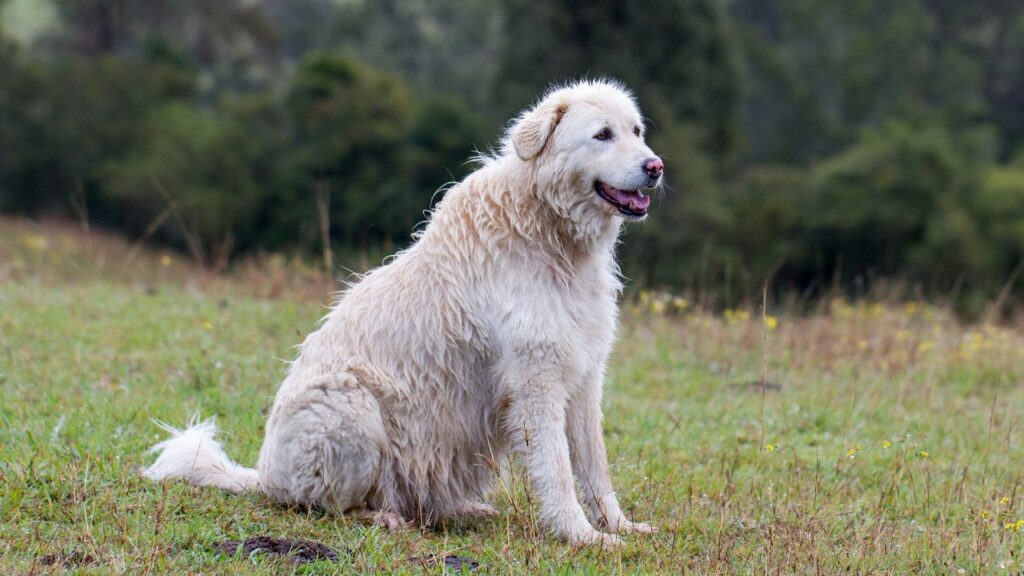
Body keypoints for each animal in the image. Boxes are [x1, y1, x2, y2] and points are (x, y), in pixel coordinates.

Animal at [144, 77, 663, 545]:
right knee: (327, 505)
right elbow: (556, 470)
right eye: (602, 135)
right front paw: (582, 536)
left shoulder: (584, 378)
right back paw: (383, 518)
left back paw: (463, 510)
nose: (655, 166)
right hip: (351, 406)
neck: (550, 232)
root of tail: (264, 477)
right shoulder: (538, 383)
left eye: (636, 131)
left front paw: (619, 527)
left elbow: (594, 468)